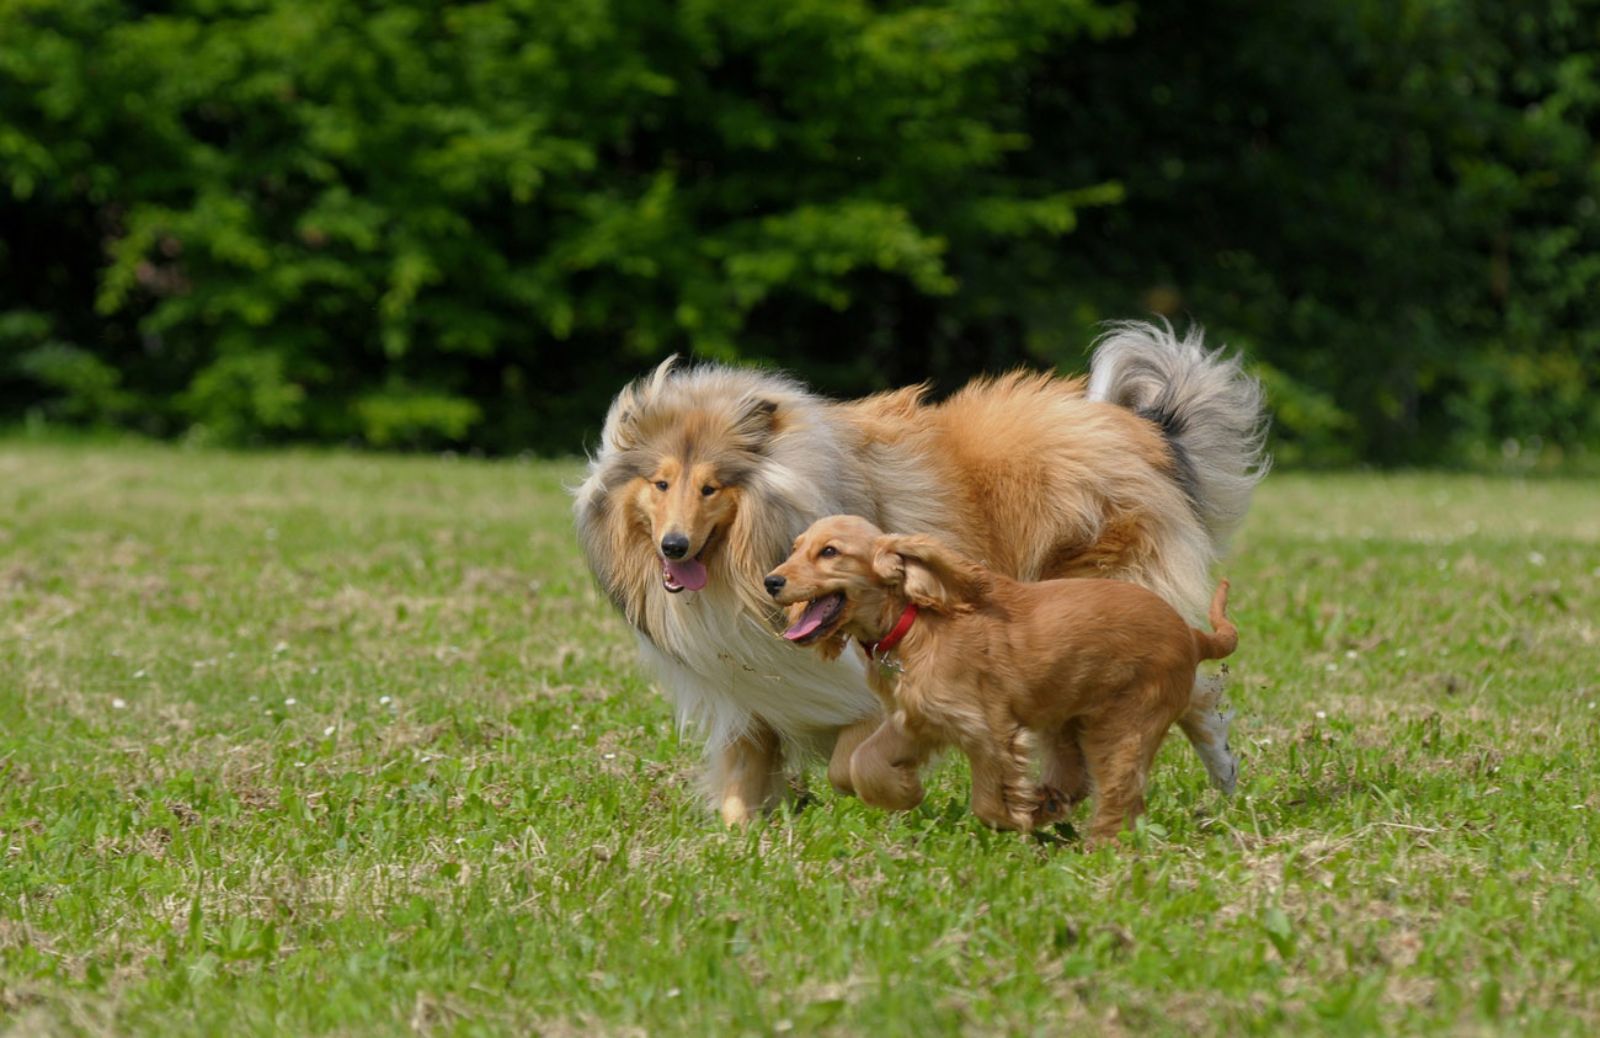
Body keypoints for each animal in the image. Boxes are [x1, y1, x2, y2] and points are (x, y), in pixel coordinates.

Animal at [572, 319, 1260, 818]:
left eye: (712, 487)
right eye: (660, 483)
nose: (673, 548)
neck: (740, 566)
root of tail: (1141, 426)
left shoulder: (863, 685)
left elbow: (851, 760)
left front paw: (897, 794)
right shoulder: (754, 693)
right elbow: (744, 778)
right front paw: (741, 845)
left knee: (1193, 690)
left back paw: (1216, 772)